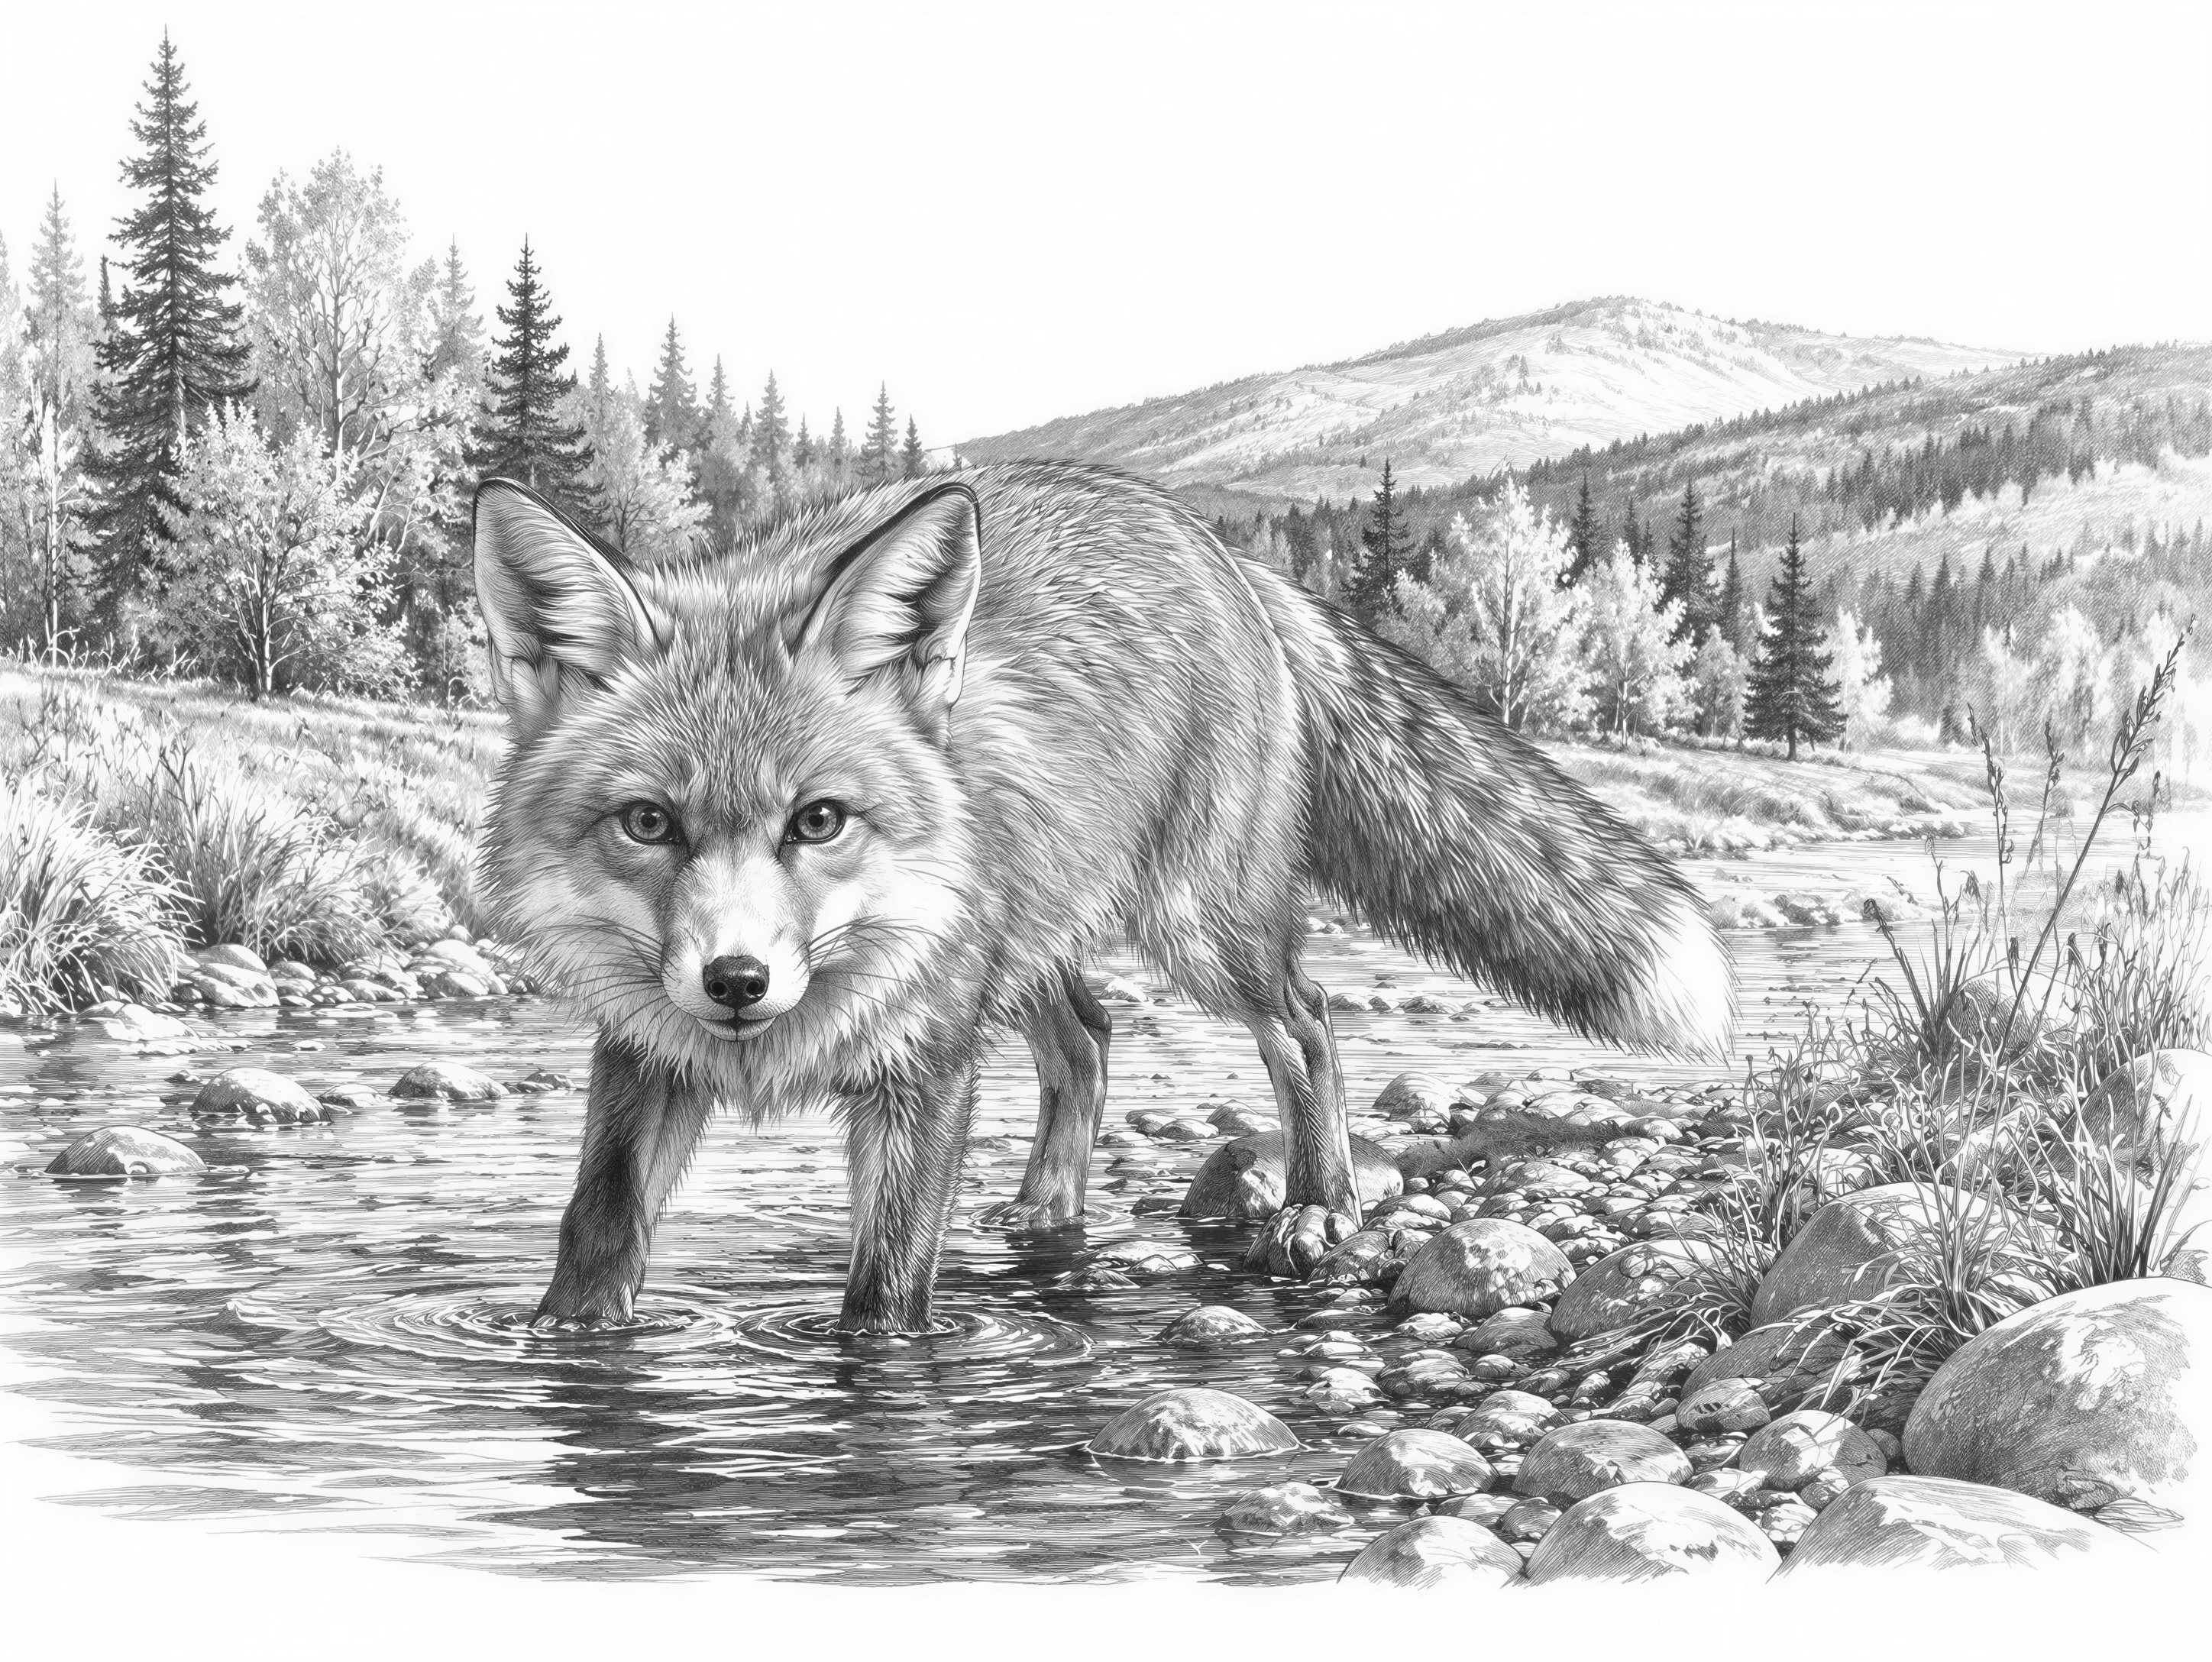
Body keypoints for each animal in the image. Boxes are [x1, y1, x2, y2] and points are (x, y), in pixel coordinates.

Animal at [471, 460, 1732, 1335]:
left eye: (817, 821)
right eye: (649, 823)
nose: (736, 981)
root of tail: (1217, 547)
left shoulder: (925, 1066)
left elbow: (886, 1288)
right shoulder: (643, 1051)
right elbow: (596, 1229)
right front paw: (559, 1347)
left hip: (1197, 929)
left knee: (1308, 1023)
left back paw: (1317, 1202)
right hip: (1026, 932)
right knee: (1088, 1035)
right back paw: (1049, 1209)